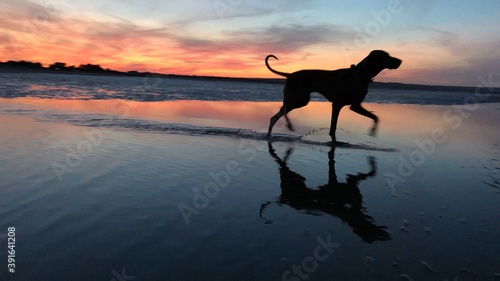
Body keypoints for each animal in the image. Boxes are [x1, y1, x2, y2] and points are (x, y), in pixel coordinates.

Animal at [266, 49, 402, 142]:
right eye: (385, 56)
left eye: (389, 54)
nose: (400, 61)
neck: (361, 75)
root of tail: (289, 74)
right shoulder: (337, 104)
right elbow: (333, 128)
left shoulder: (355, 106)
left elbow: (376, 117)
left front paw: (372, 131)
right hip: (300, 99)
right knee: (280, 112)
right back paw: (288, 126)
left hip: (298, 99)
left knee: (277, 114)